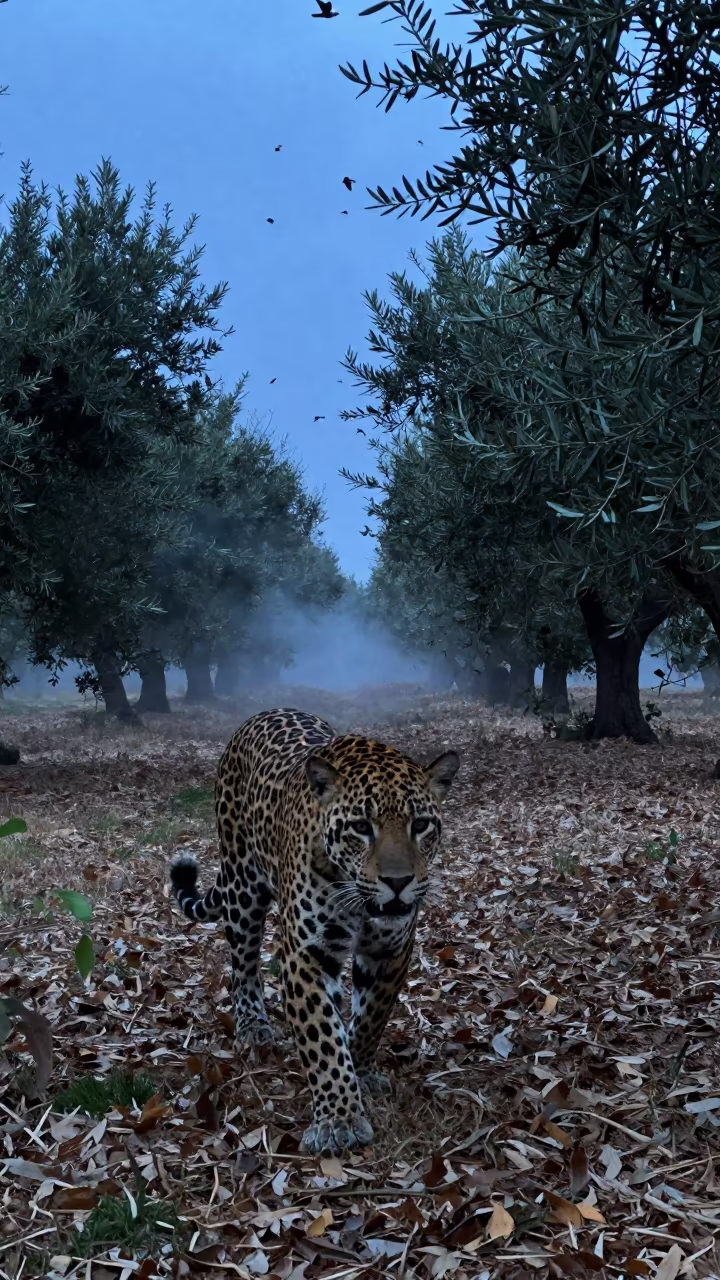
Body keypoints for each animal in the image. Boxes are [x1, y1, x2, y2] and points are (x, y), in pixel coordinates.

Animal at [169, 707, 460, 1156]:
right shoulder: (307, 953)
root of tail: (261, 714)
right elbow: (321, 1037)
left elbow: (371, 1017)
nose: (398, 882)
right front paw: (338, 1119)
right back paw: (252, 1025)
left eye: (422, 824)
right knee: (243, 962)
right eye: (361, 827)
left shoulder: (391, 950)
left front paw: (360, 1069)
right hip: (242, 888)